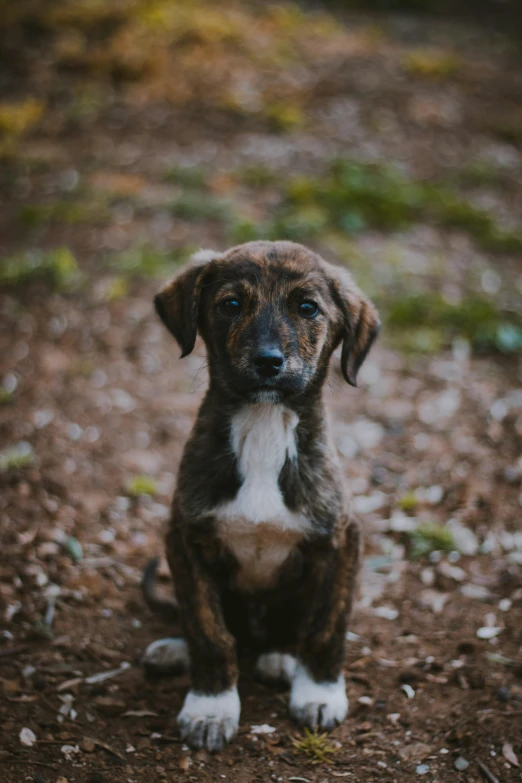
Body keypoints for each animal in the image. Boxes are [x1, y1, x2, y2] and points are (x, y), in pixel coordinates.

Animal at [142, 240, 378, 752]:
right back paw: (174, 650)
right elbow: (208, 631)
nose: (268, 362)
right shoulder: (185, 538)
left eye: (307, 308)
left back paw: (281, 658)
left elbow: (327, 628)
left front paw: (319, 694)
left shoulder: (342, 539)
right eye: (231, 304)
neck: (264, 427)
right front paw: (210, 707)